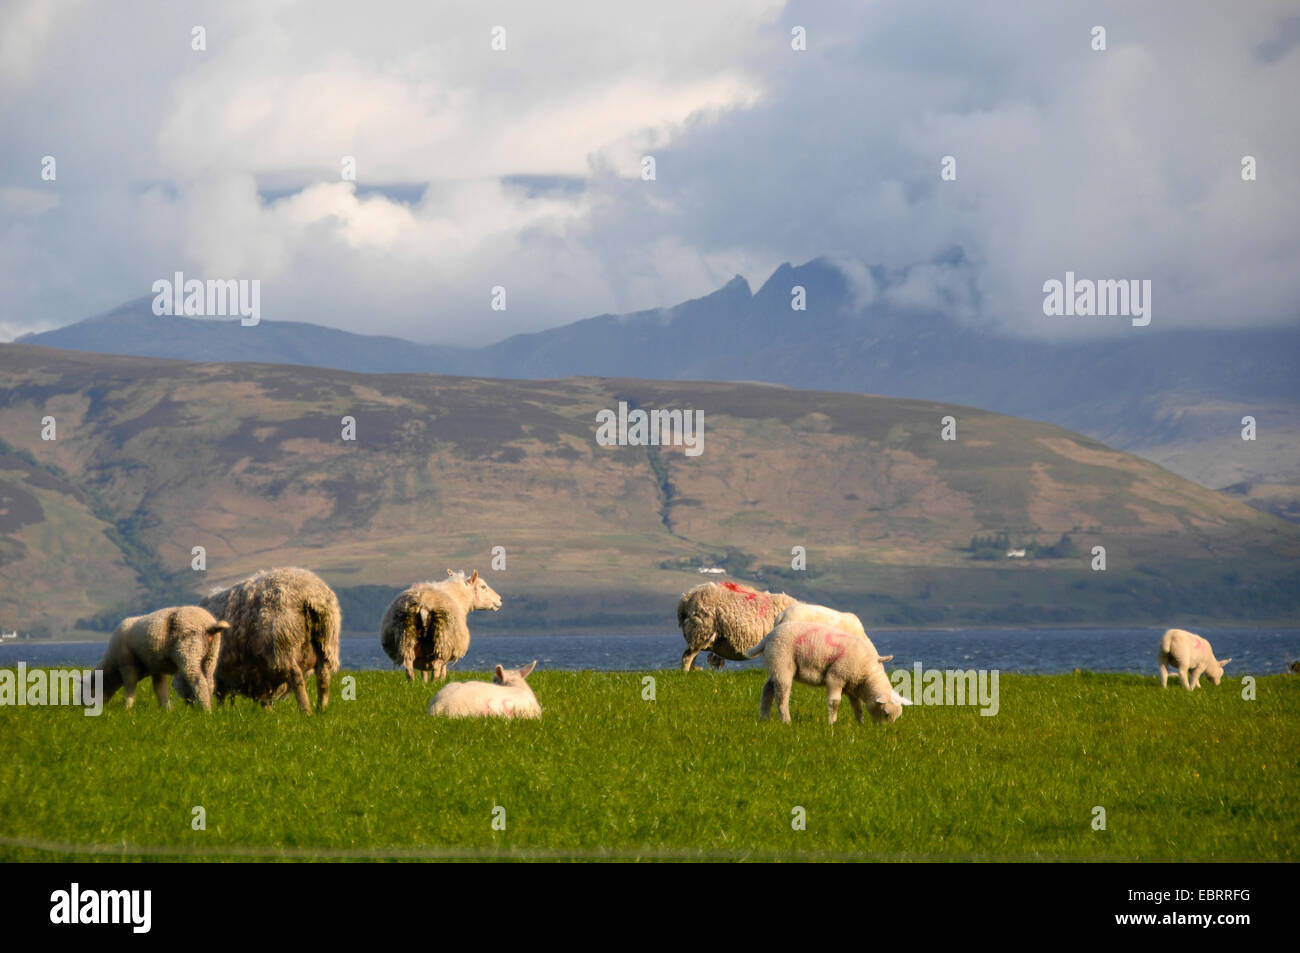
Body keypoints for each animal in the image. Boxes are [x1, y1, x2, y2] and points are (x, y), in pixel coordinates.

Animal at [89, 605, 227, 712]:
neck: (112, 667)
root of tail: (208, 624)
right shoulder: (157, 669)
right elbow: (160, 690)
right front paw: (166, 710)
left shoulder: (127, 665)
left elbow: (130, 686)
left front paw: (127, 707)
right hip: (211, 655)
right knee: (209, 682)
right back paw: (208, 707)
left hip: (189, 650)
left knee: (198, 680)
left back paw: (205, 710)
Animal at [197, 564, 340, 712]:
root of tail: (311, 594)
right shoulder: (260, 669)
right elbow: (263, 693)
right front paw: (267, 712)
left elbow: (223, 694)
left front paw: (221, 710)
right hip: (325, 640)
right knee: (323, 675)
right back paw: (321, 709)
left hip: (284, 641)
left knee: (296, 677)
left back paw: (306, 710)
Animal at [748, 621, 909, 722]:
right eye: (886, 713)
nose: (883, 732)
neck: (866, 675)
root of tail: (768, 637)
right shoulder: (836, 676)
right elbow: (835, 703)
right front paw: (832, 723)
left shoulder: (852, 685)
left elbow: (857, 706)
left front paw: (860, 723)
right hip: (782, 663)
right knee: (781, 696)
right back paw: (786, 721)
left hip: (776, 667)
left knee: (767, 690)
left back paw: (764, 718)